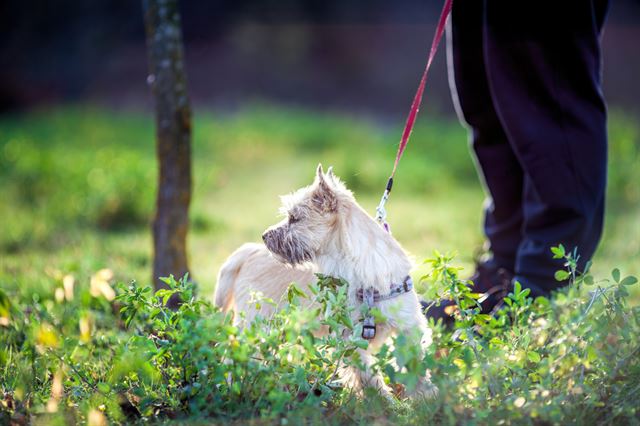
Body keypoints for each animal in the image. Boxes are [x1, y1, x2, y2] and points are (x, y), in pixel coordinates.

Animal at [214, 164, 436, 400]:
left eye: (294, 218)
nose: (264, 235)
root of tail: (247, 252)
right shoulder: (350, 337)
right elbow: (368, 375)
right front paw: (385, 401)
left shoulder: (408, 326)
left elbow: (417, 363)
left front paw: (427, 396)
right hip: (255, 325)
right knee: (234, 354)